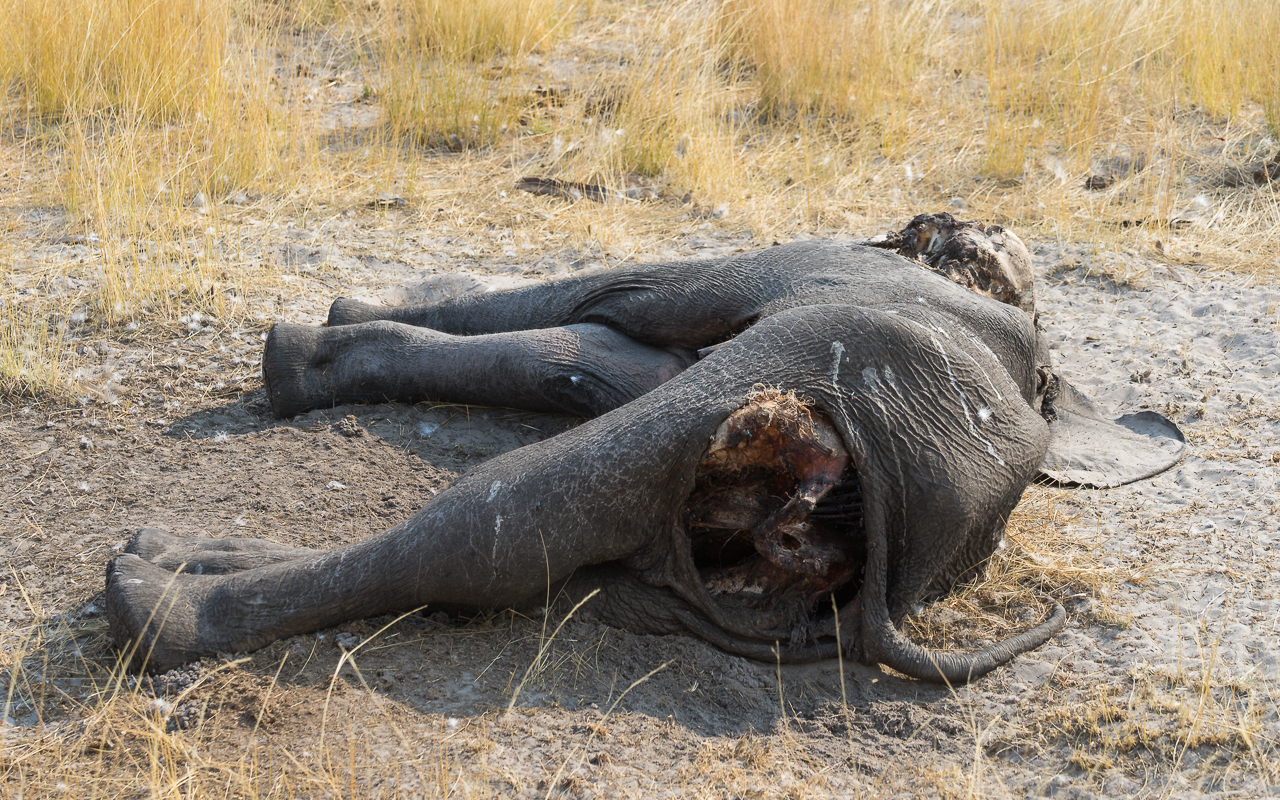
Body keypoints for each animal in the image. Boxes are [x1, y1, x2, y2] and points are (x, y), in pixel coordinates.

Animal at [104, 214, 1184, 683]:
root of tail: (888, 607)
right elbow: (578, 353)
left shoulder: (761, 278)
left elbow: (602, 297)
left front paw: (305, 343)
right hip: (687, 574)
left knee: (494, 519)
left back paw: (159, 592)